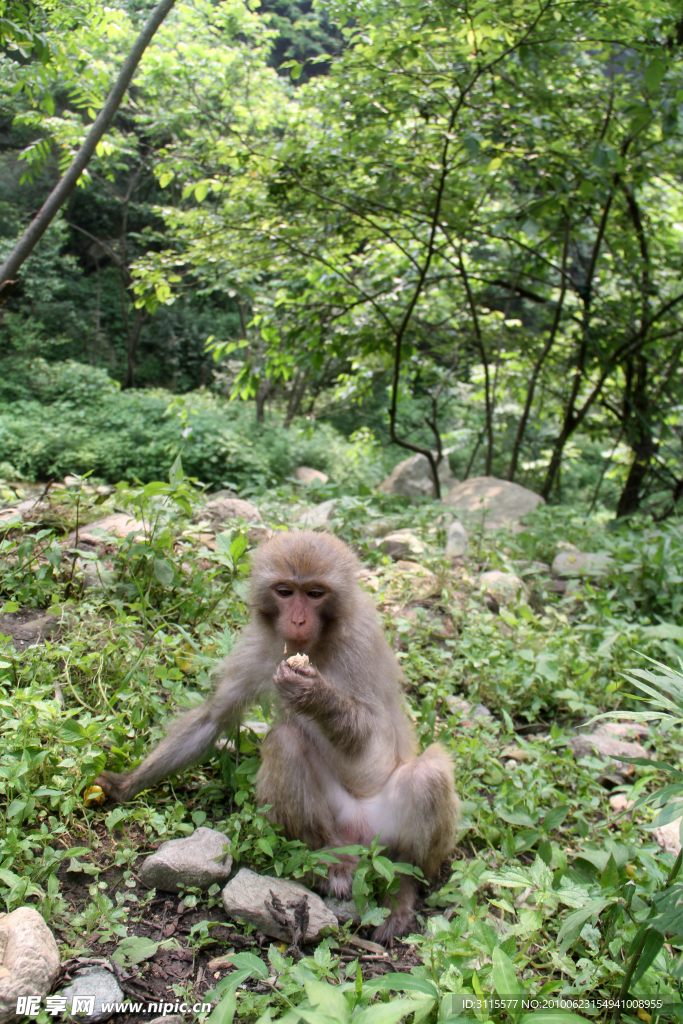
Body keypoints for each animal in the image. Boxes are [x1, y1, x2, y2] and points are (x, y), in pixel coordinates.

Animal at [96, 532, 458, 937]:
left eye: (315, 593)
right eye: (285, 591)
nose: (297, 620)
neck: (316, 643)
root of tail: (361, 839)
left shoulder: (359, 644)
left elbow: (373, 737)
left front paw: (313, 695)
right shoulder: (261, 646)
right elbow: (215, 717)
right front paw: (125, 785)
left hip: (387, 835)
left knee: (428, 777)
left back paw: (404, 887)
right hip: (339, 823)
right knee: (285, 742)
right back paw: (330, 858)